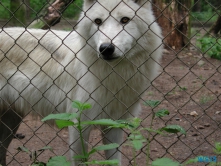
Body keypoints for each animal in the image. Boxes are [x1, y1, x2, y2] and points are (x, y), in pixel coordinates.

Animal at [0, 0, 162, 165]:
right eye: (98, 21)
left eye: (125, 20)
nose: (106, 48)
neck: (114, 75)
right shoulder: (78, 125)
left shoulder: (114, 125)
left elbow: (114, 160)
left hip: (11, 121)